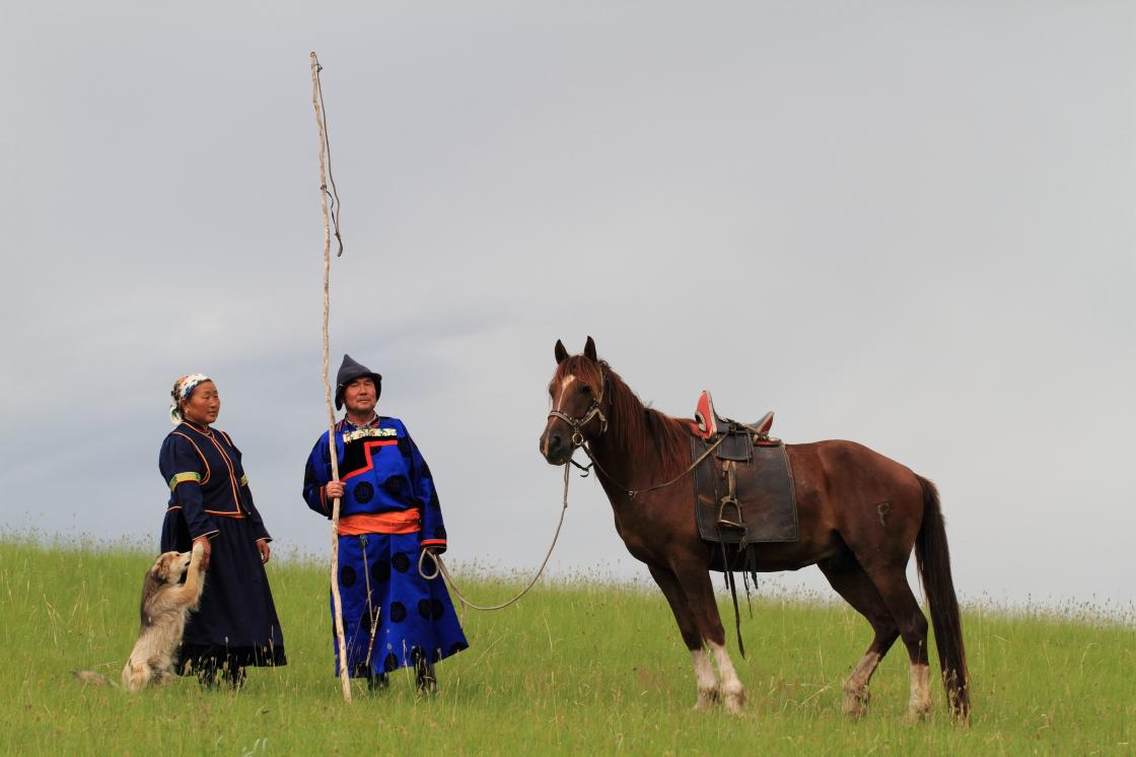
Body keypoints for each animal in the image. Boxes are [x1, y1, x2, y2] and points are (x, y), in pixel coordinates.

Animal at [538, 336, 967, 718]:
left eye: (586, 389)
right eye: (552, 389)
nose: (551, 444)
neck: (658, 467)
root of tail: (909, 476)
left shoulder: (689, 563)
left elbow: (711, 625)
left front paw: (733, 698)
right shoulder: (661, 568)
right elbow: (689, 630)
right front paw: (705, 699)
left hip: (882, 565)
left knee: (912, 624)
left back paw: (917, 711)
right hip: (842, 568)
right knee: (885, 623)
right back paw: (853, 695)